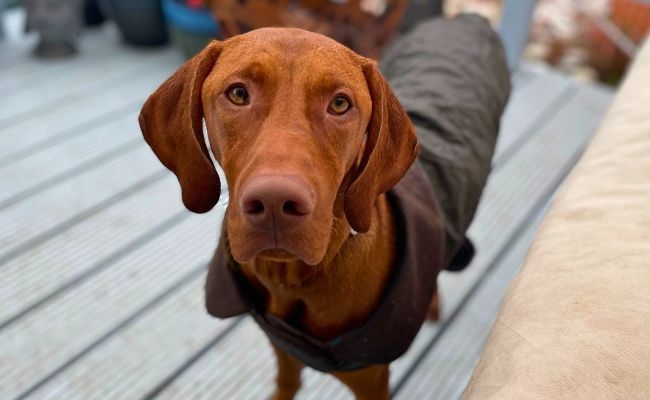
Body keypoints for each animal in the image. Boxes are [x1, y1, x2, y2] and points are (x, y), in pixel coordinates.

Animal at [140, 23, 506, 398]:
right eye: (238, 94)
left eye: (340, 104)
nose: (274, 204)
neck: (291, 280)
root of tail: (468, 19)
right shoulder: (283, 347)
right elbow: (288, 381)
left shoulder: (371, 378)